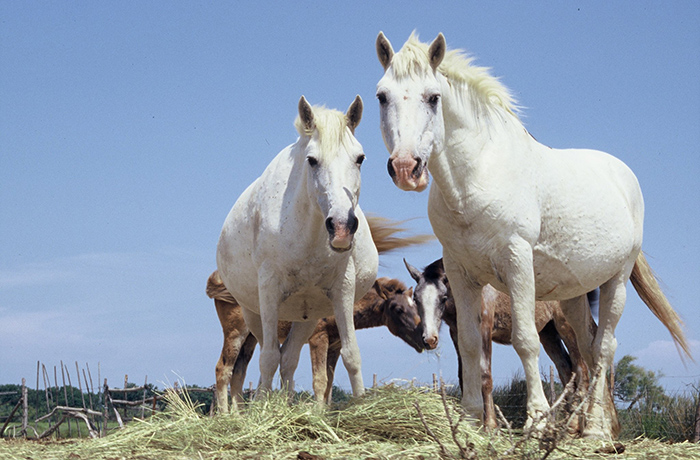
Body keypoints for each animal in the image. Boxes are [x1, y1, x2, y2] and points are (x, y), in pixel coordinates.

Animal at [216, 96, 378, 398]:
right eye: (312, 160)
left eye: (360, 158)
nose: (341, 227)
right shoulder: (269, 291)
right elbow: (268, 358)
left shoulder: (343, 289)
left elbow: (352, 355)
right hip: (253, 316)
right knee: (269, 357)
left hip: (307, 318)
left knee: (289, 359)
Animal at [372, 33, 688, 438]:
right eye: (382, 96)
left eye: (433, 97)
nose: (405, 168)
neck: (477, 177)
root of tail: (624, 178)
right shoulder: (460, 273)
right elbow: (471, 349)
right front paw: (471, 423)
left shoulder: (517, 264)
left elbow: (525, 342)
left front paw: (536, 422)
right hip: (573, 297)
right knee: (587, 349)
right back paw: (592, 428)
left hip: (616, 281)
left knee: (603, 348)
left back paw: (595, 428)